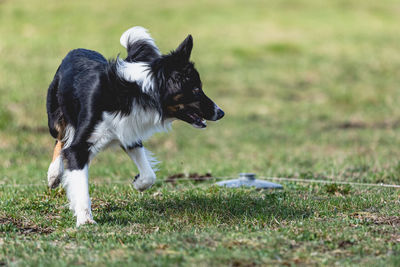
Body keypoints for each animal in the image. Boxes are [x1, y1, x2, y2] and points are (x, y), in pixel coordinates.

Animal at [46, 26, 225, 226]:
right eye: (196, 89)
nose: (221, 113)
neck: (137, 92)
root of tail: (75, 50)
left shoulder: (128, 133)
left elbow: (149, 175)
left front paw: (138, 183)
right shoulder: (80, 146)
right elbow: (79, 179)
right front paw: (85, 220)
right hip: (55, 118)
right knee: (60, 140)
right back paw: (53, 175)